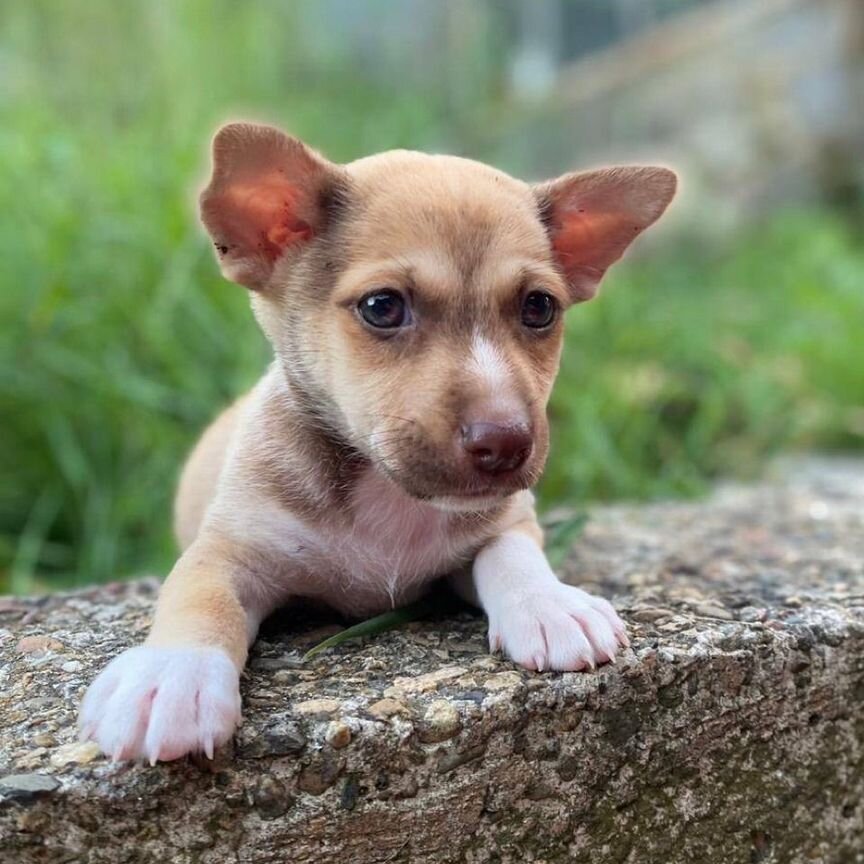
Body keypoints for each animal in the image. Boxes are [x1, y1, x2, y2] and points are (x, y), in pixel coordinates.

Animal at [79, 123, 676, 764]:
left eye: (540, 308)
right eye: (382, 307)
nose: (506, 445)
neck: (384, 492)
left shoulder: (505, 523)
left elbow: (513, 554)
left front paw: (552, 603)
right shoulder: (226, 551)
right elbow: (197, 598)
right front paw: (169, 674)